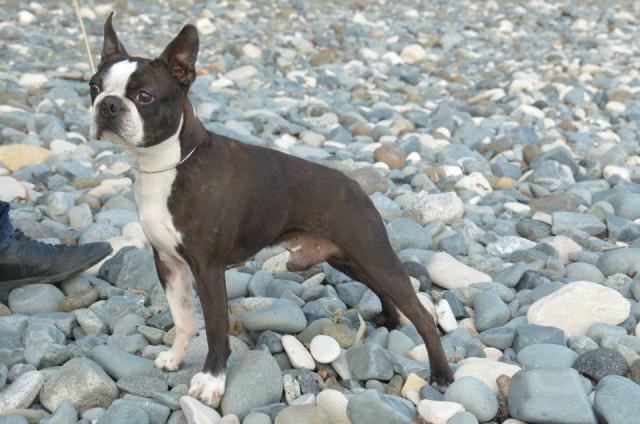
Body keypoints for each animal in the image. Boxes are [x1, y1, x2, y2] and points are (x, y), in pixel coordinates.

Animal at [89, 12, 453, 406]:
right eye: (94, 87)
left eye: (144, 97)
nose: (108, 105)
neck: (167, 165)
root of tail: (355, 185)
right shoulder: (169, 264)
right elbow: (184, 319)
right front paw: (175, 359)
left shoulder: (208, 270)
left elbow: (215, 330)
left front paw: (211, 382)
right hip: (349, 259)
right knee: (383, 289)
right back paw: (389, 319)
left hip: (371, 252)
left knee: (421, 313)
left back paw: (441, 374)